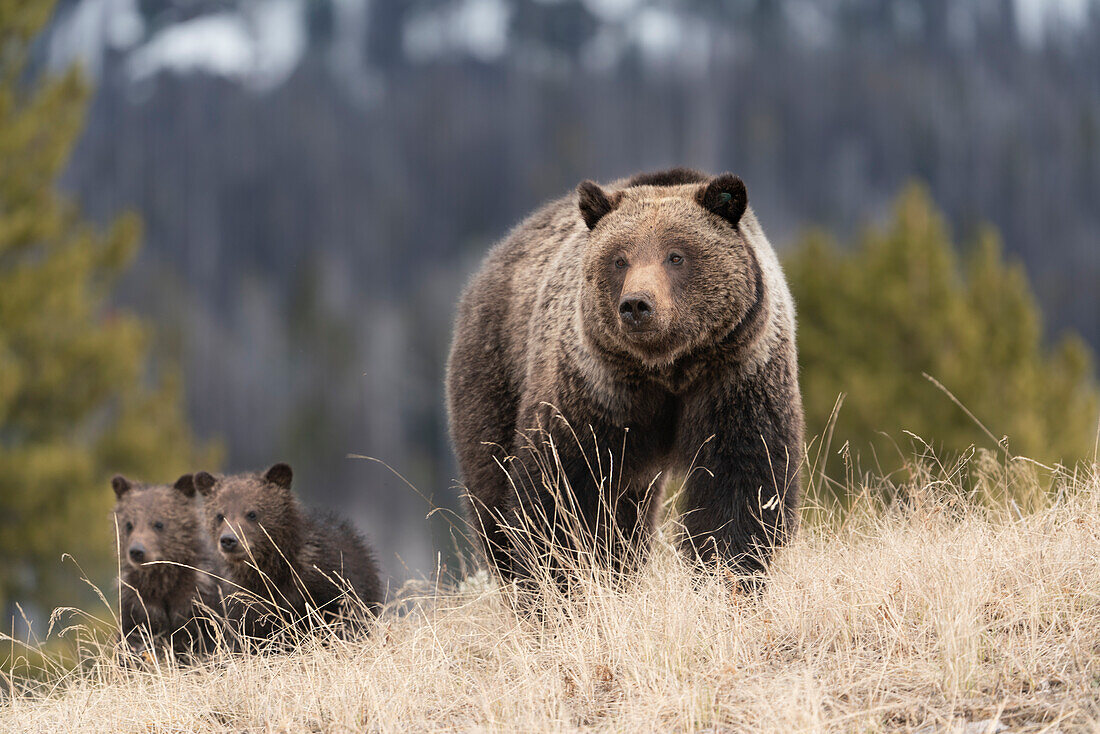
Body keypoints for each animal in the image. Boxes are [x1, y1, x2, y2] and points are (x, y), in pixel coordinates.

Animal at [111, 473, 223, 655]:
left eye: (159, 523)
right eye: (128, 524)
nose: (137, 551)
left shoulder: (199, 600)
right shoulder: (137, 604)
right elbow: (131, 640)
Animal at [195, 464, 385, 642]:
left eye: (252, 513)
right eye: (220, 515)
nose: (229, 540)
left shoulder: (326, 582)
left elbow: (343, 615)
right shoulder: (244, 602)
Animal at [442, 166, 805, 585]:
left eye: (676, 255)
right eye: (619, 260)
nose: (636, 305)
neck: (668, 369)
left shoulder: (735, 374)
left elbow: (742, 480)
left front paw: (728, 570)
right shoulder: (596, 389)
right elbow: (561, 486)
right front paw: (563, 580)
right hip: (493, 368)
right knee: (492, 485)